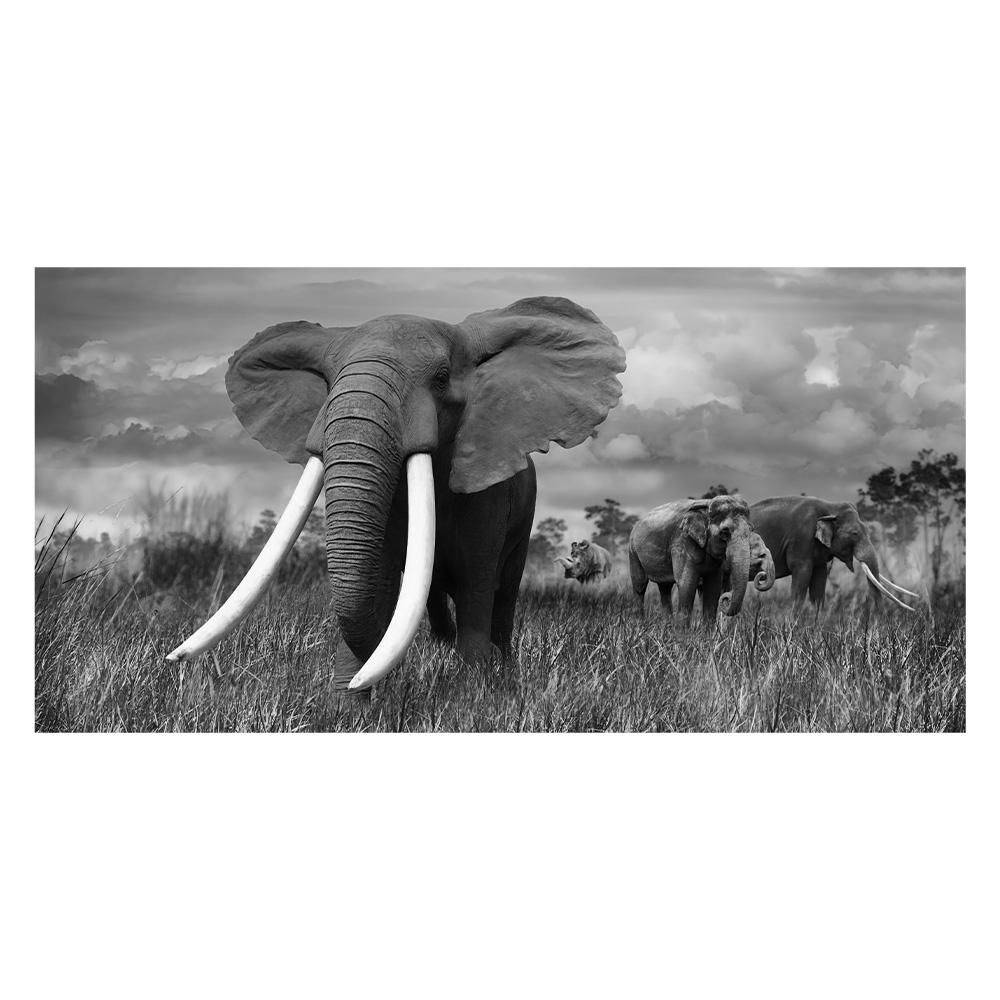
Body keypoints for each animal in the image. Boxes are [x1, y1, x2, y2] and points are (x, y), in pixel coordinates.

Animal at [166, 296, 626, 696]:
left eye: (441, 377)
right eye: (328, 381)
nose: (171, 661)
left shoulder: (491, 491)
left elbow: (477, 582)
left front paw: (474, 698)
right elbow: (381, 581)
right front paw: (350, 712)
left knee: (502, 593)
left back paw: (502, 668)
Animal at [628, 495, 770, 624]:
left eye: (751, 529)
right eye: (725, 532)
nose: (726, 598)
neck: (707, 504)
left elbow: (713, 587)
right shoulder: (682, 541)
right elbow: (687, 584)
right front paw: (681, 635)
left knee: (665, 588)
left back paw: (666, 626)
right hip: (633, 550)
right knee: (639, 585)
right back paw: (639, 624)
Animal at [749, 496, 918, 611]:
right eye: (855, 534)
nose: (880, 617)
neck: (830, 507)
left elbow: (819, 581)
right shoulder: (800, 541)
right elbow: (801, 579)